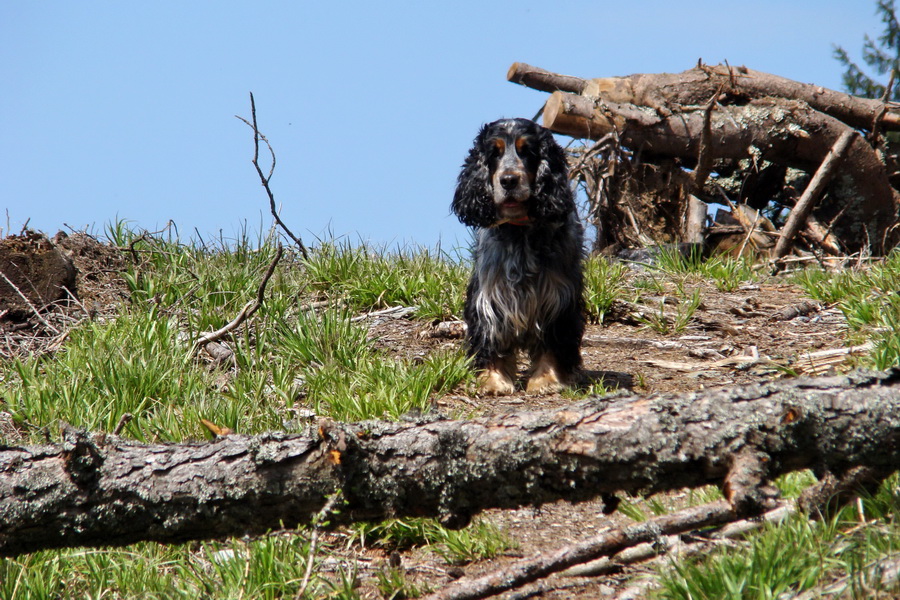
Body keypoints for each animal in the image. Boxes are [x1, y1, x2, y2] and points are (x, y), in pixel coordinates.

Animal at [450, 119, 584, 396]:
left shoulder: (557, 296)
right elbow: (490, 333)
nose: (509, 180)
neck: (520, 230)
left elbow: (552, 341)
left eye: (527, 151)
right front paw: (492, 381)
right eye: (494, 153)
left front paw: (546, 379)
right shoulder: (490, 293)